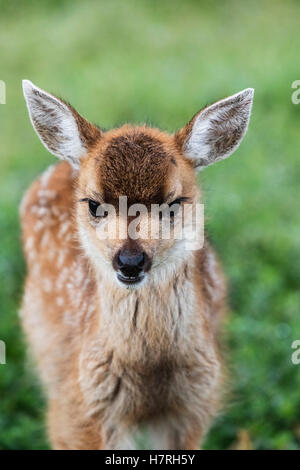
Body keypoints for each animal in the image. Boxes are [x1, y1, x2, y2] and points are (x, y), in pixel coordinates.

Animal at [20, 80, 253, 448]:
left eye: (173, 203)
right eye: (94, 204)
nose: (130, 261)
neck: (149, 373)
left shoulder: (196, 404)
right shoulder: (76, 413)